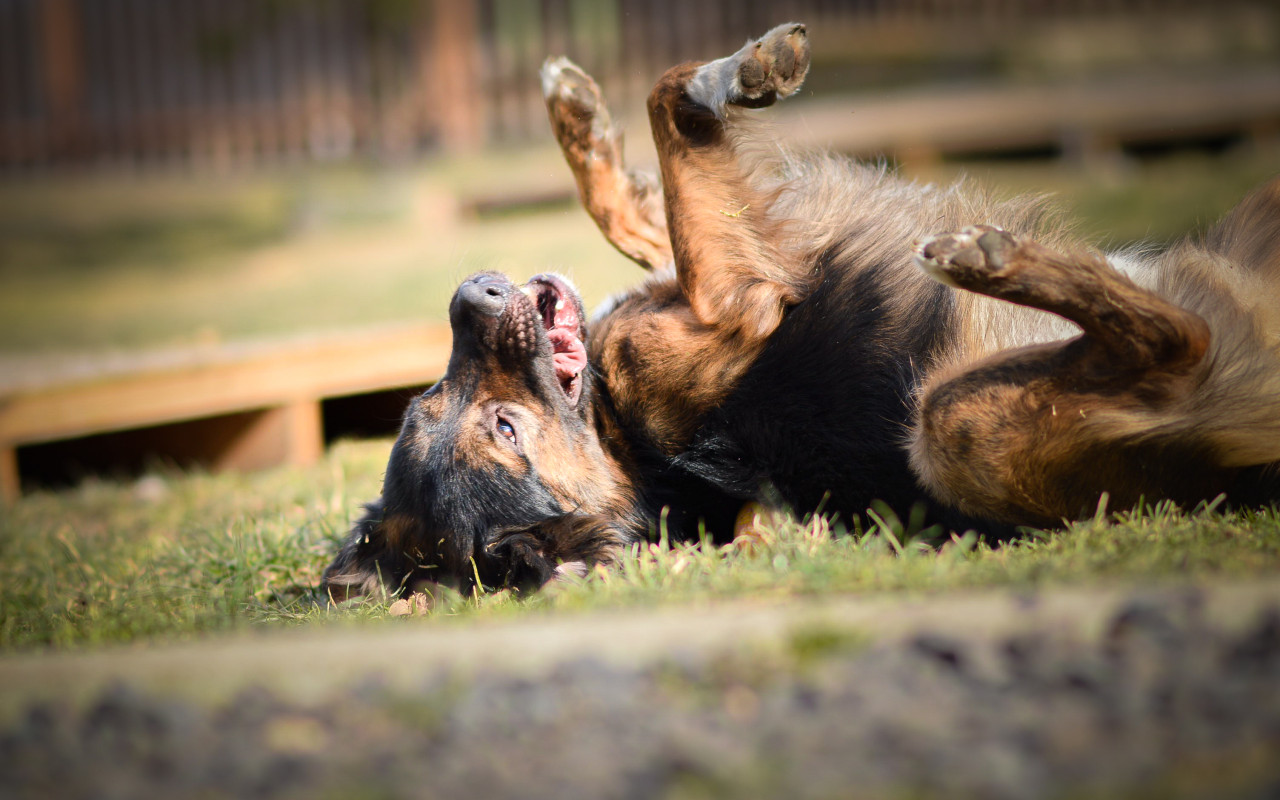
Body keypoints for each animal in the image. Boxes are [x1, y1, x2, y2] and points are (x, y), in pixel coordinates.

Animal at [325, 23, 1280, 599]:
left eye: (425, 403)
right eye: (505, 429)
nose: (469, 295)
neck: (628, 442)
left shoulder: (709, 273)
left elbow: (638, 204)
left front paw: (579, 111)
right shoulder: (738, 304)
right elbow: (668, 106)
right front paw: (739, 75)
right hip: (949, 427)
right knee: (1179, 337)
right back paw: (997, 262)